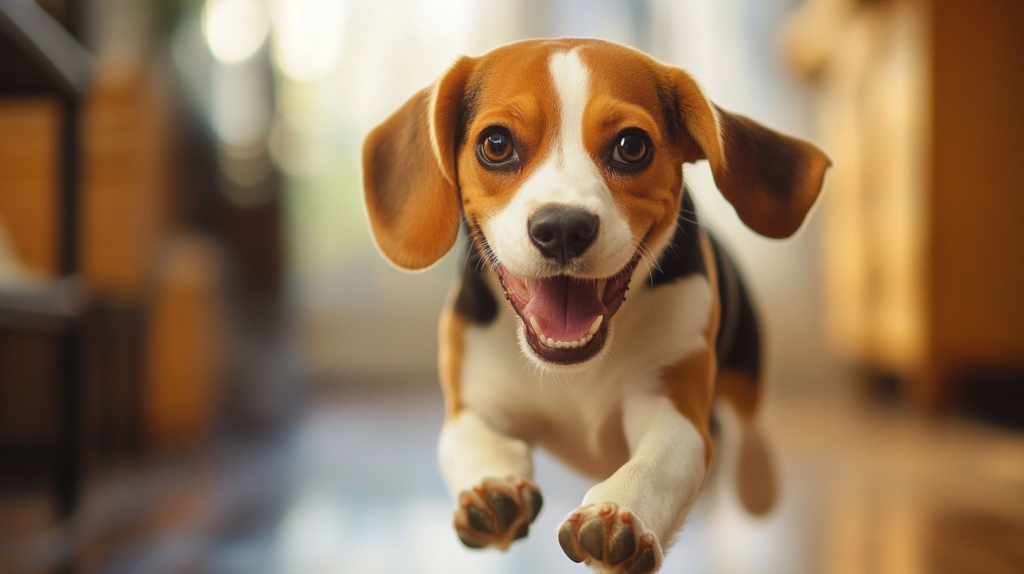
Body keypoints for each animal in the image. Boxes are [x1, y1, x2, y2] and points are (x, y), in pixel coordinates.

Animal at [364, 38, 827, 568]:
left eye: (631, 146)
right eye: (496, 144)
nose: (563, 227)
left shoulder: (672, 403)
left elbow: (658, 464)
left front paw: (619, 512)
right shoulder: (473, 405)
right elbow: (474, 443)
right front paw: (493, 489)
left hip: (747, 367)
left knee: (750, 432)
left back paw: (756, 486)